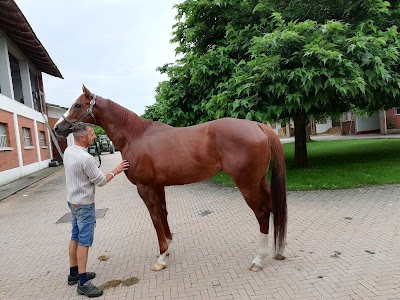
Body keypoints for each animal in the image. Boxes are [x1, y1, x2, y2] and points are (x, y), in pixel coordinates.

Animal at [55, 86, 288, 272]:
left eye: (77, 105)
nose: (58, 127)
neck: (135, 135)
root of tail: (258, 126)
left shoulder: (145, 188)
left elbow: (155, 218)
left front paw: (161, 257)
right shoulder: (158, 186)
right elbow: (163, 214)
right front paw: (167, 249)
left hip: (247, 184)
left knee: (262, 213)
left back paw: (258, 259)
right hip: (260, 181)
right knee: (274, 208)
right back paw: (278, 251)